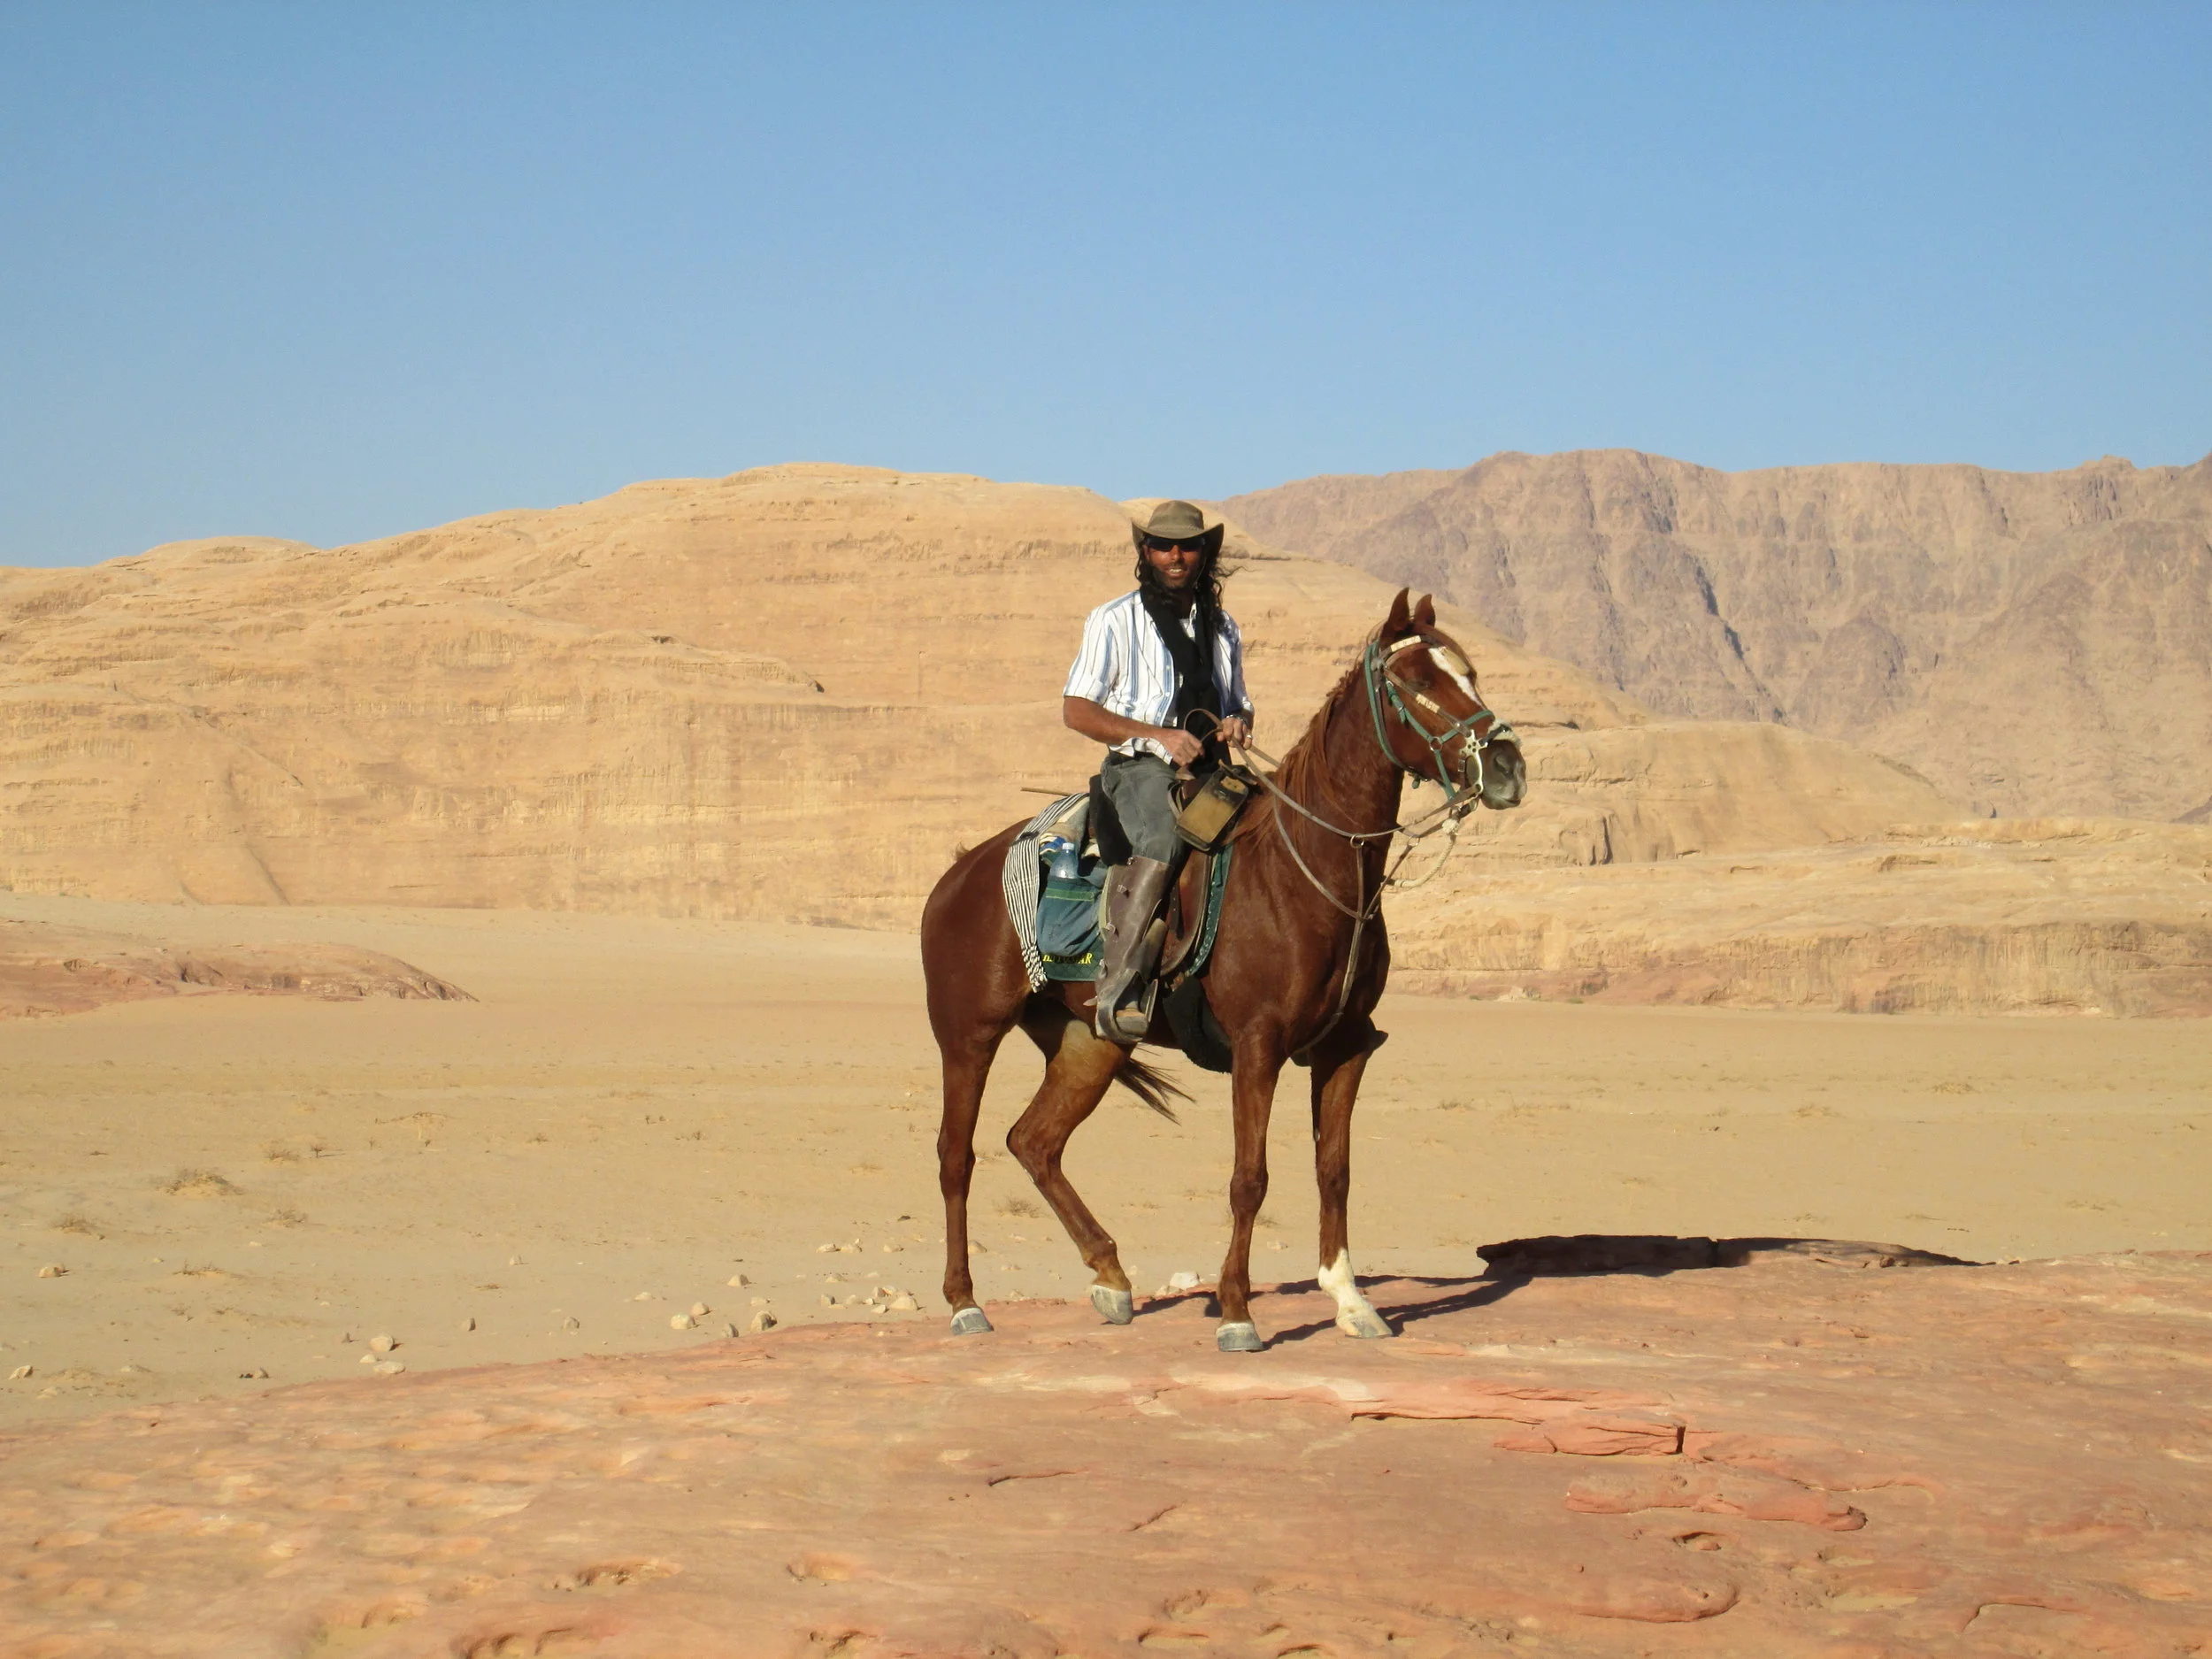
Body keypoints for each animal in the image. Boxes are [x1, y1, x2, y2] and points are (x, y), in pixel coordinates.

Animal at [918, 588, 1527, 1352]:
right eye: (1415, 681)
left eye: (1469, 672)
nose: (1507, 763)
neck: (1308, 867)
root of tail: (956, 875)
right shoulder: (1257, 1046)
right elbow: (1249, 1177)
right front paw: (1238, 1311)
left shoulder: (1346, 1045)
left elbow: (1335, 1170)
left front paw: (1351, 1299)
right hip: (969, 1034)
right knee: (955, 1155)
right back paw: (964, 1301)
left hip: (1090, 1040)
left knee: (1034, 1142)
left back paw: (1111, 1278)